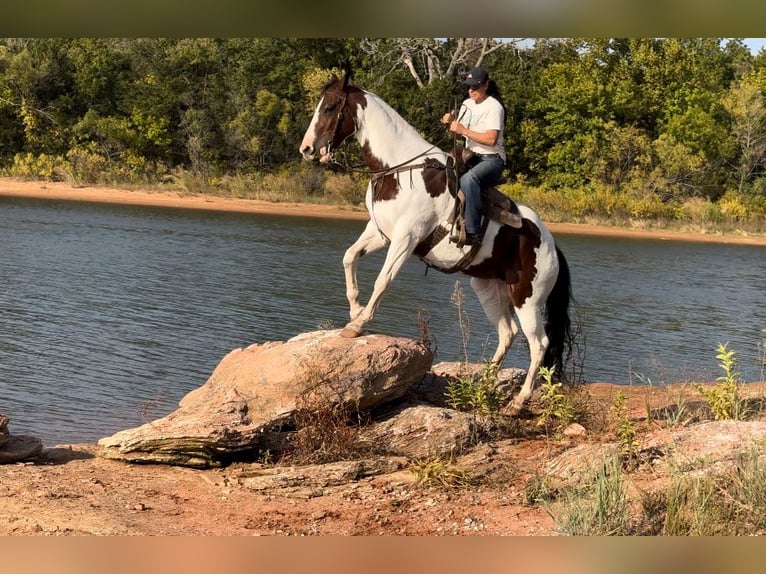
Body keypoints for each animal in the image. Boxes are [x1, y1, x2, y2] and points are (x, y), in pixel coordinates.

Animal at [296, 73, 572, 414]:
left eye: (331, 107)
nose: (307, 149)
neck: (399, 169)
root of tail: (551, 245)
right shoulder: (380, 232)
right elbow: (349, 257)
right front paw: (355, 309)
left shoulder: (406, 238)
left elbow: (382, 280)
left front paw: (358, 324)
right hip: (488, 288)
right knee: (507, 333)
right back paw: (483, 383)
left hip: (527, 299)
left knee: (539, 345)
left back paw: (518, 402)